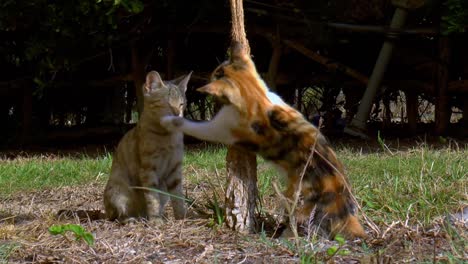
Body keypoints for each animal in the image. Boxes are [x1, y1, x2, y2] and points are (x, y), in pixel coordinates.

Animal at [104, 70, 192, 223]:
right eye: (167, 104)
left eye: (181, 104)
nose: (178, 115)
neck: (167, 136)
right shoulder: (148, 170)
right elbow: (152, 197)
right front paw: (156, 220)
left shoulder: (175, 169)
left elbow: (178, 197)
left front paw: (182, 217)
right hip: (118, 192)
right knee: (117, 216)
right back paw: (131, 219)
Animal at [163, 43, 368, 239]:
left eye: (214, 75)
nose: (208, 77)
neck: (256, 96)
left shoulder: (219, 129)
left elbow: (192, 125)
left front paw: (169, 120)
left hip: (305, 205)